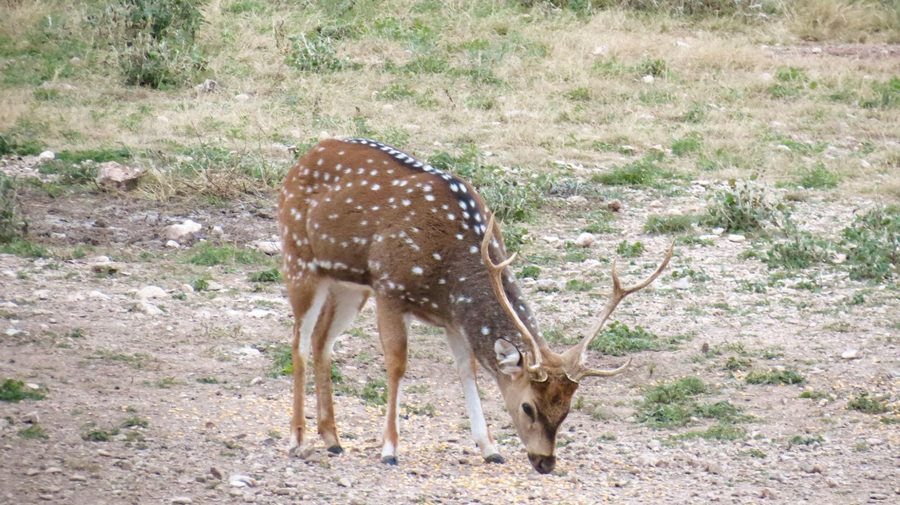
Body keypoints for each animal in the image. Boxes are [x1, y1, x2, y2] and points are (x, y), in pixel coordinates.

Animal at [277, 137, 673, 474]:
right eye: (528, 406)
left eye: (567, 409)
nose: (545, 462)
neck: (449, 273)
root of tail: (304, 157)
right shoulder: (390, 287)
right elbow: (397, 365)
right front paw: (389, 449)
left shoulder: (452, 318)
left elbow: (467, 369)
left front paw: (490, 448)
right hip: (299, 259)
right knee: (299, 340)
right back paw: (298, 439)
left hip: (347, 284)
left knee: (322, 340)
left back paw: (332, 439)